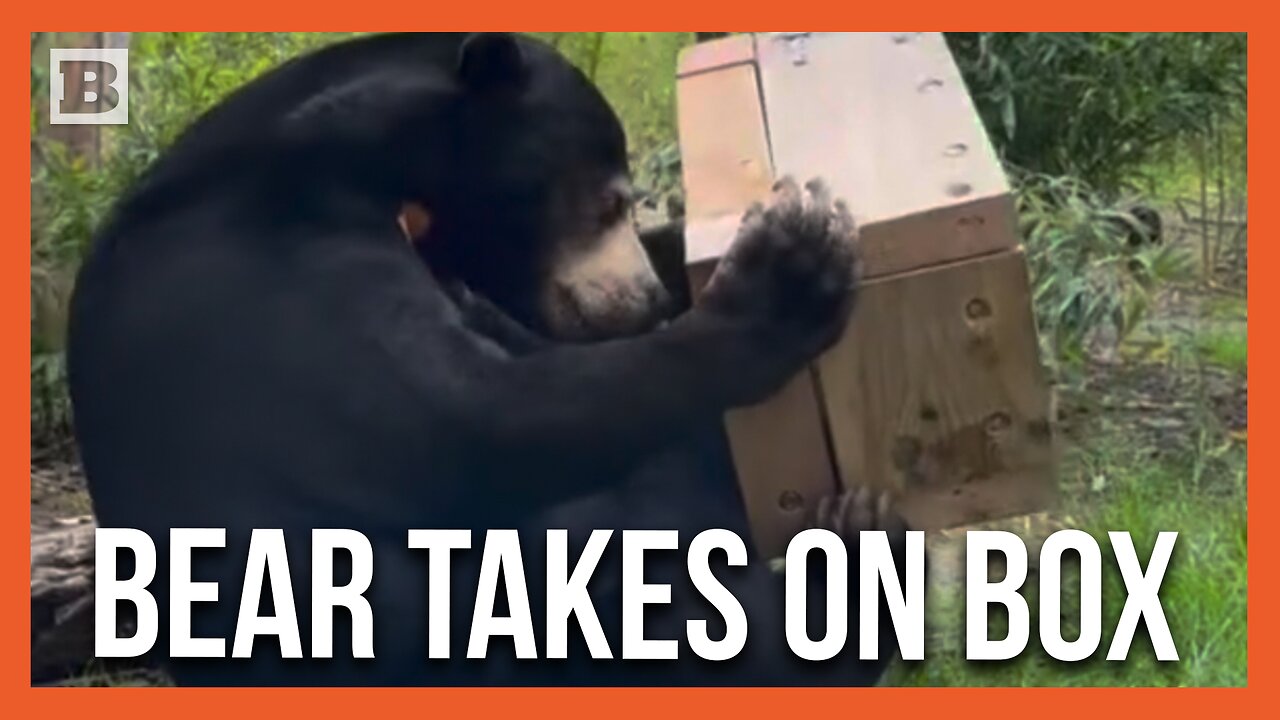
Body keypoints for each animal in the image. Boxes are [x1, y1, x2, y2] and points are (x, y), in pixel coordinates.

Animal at [67, 32, 911, 681]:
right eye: (607, 200)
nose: (641, 299)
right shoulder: (277, 275)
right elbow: (461, 420)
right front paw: (788, 272)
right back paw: (850, 566)